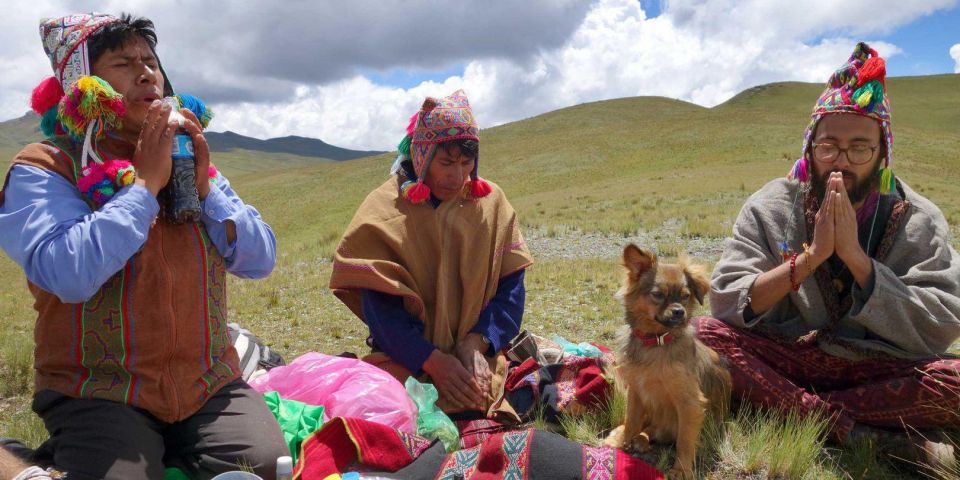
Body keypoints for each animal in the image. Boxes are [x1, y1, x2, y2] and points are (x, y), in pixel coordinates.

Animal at [604, 246, 732, 478]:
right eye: (657, 295)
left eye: (685, 296)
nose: (679, 311)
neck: (656, 342)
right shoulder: (636, 392)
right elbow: (631, 420)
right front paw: (623, 443)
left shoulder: (689, 403)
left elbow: (684, 440)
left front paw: (681, 470)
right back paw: (630, 437)